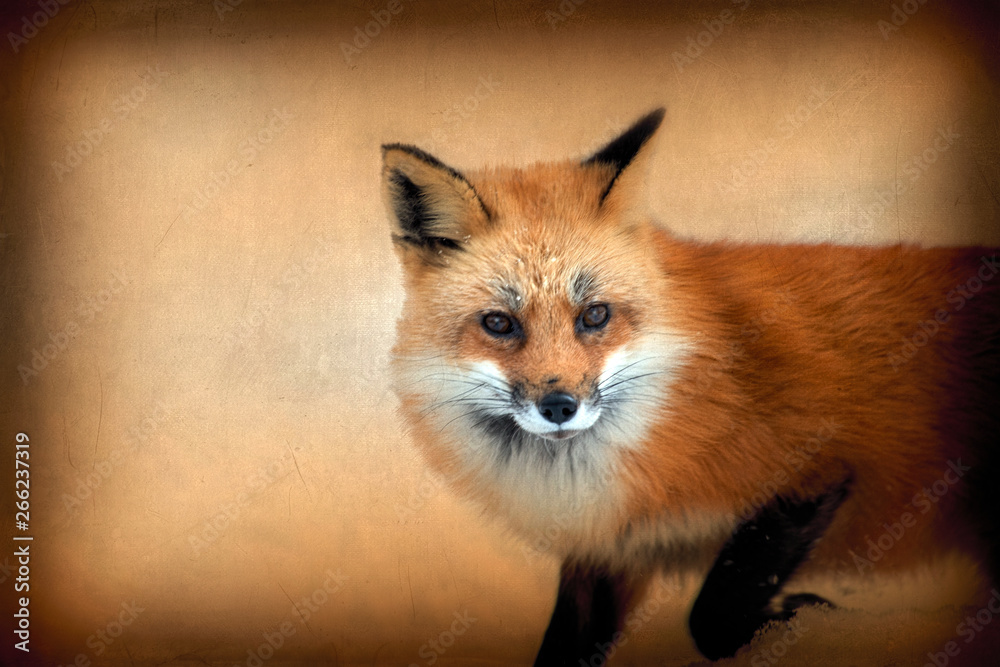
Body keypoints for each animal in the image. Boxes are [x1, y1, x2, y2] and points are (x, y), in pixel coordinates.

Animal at [381, 108, 1000, 665]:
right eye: (499, 324)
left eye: (595, 315)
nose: (560, 405)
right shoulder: (608, 548)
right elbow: (566, 648)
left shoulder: (818, 462)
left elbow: (712, 615)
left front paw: (794, 618)